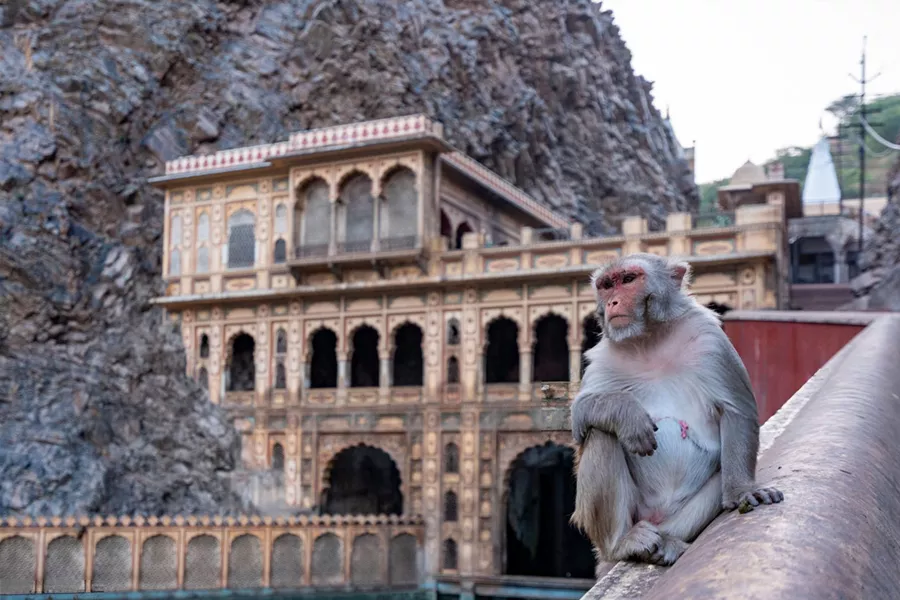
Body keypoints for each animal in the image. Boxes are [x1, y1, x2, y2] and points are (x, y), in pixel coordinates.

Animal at [569, 252, 783, 570]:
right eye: (606, 285)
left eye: (628, 279)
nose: (612, 303)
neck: (649, 339)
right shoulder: (603, 357)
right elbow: (580, 417)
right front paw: (628, 414)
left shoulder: (709, 338)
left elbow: (737, 409)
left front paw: (742, 490)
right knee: (601, 434)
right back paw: (623, 544)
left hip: (676, 518)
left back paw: (668, 545)